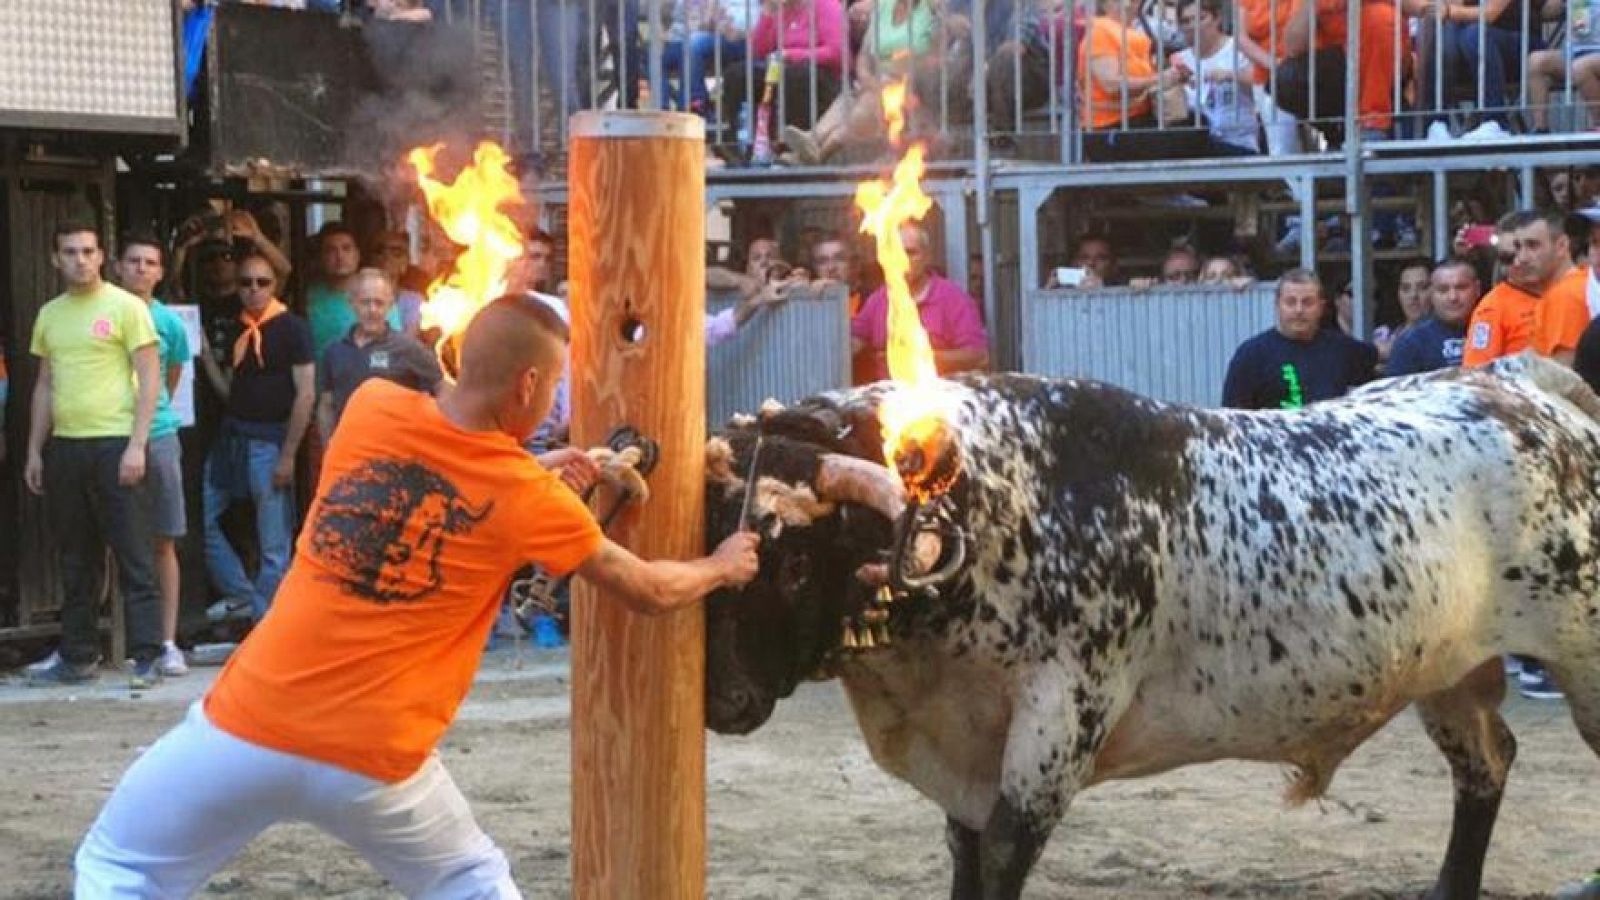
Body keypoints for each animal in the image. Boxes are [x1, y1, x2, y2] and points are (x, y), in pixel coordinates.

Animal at [707, 350, 1600, 896]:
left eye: (794, 565)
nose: (726, 700)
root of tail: (1522, 389)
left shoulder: (1056, 731)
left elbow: (999, 860)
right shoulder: (967, 757)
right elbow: (966, 855)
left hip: (1582, 660)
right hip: (1447, 671)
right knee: (1485, 766)